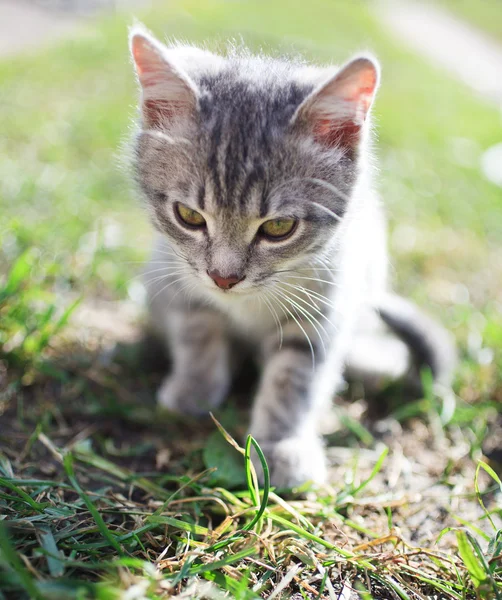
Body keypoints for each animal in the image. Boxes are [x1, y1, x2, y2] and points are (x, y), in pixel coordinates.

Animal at [127, 27, 456, 488]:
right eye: (189, 216)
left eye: (279, 227)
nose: (224, 277)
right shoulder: (179, 277)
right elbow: (198, 332)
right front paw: (194, 388)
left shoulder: (322, 313)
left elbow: (293, 380)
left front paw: (280, 447)